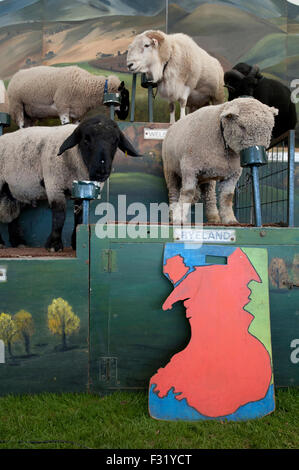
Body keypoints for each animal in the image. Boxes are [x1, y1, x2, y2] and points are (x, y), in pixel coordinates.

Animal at [0, 114, 139, 253]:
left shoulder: (81, 192)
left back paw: (18, 242)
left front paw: (76, 242)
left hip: (14, 191)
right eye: (86, 139)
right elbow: (60, 215)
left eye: (115, 141)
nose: (101, 171)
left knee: (14, 216)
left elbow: (80, 217)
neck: (75, 158)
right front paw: (54, 245)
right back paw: (3, 243)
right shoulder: (54, 185)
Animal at [162, 97, 278, 226]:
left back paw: (214, 218)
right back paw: (172, 213)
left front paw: (230, 220)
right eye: (241, 126)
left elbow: (227, 197)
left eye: (270, 128)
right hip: (170, 171)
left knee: (209, 195)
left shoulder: (233, 174)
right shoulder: (189, 167)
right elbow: (188, 192)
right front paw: (179, 218)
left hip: (207, 176)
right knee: (173, 192)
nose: (258, 159)